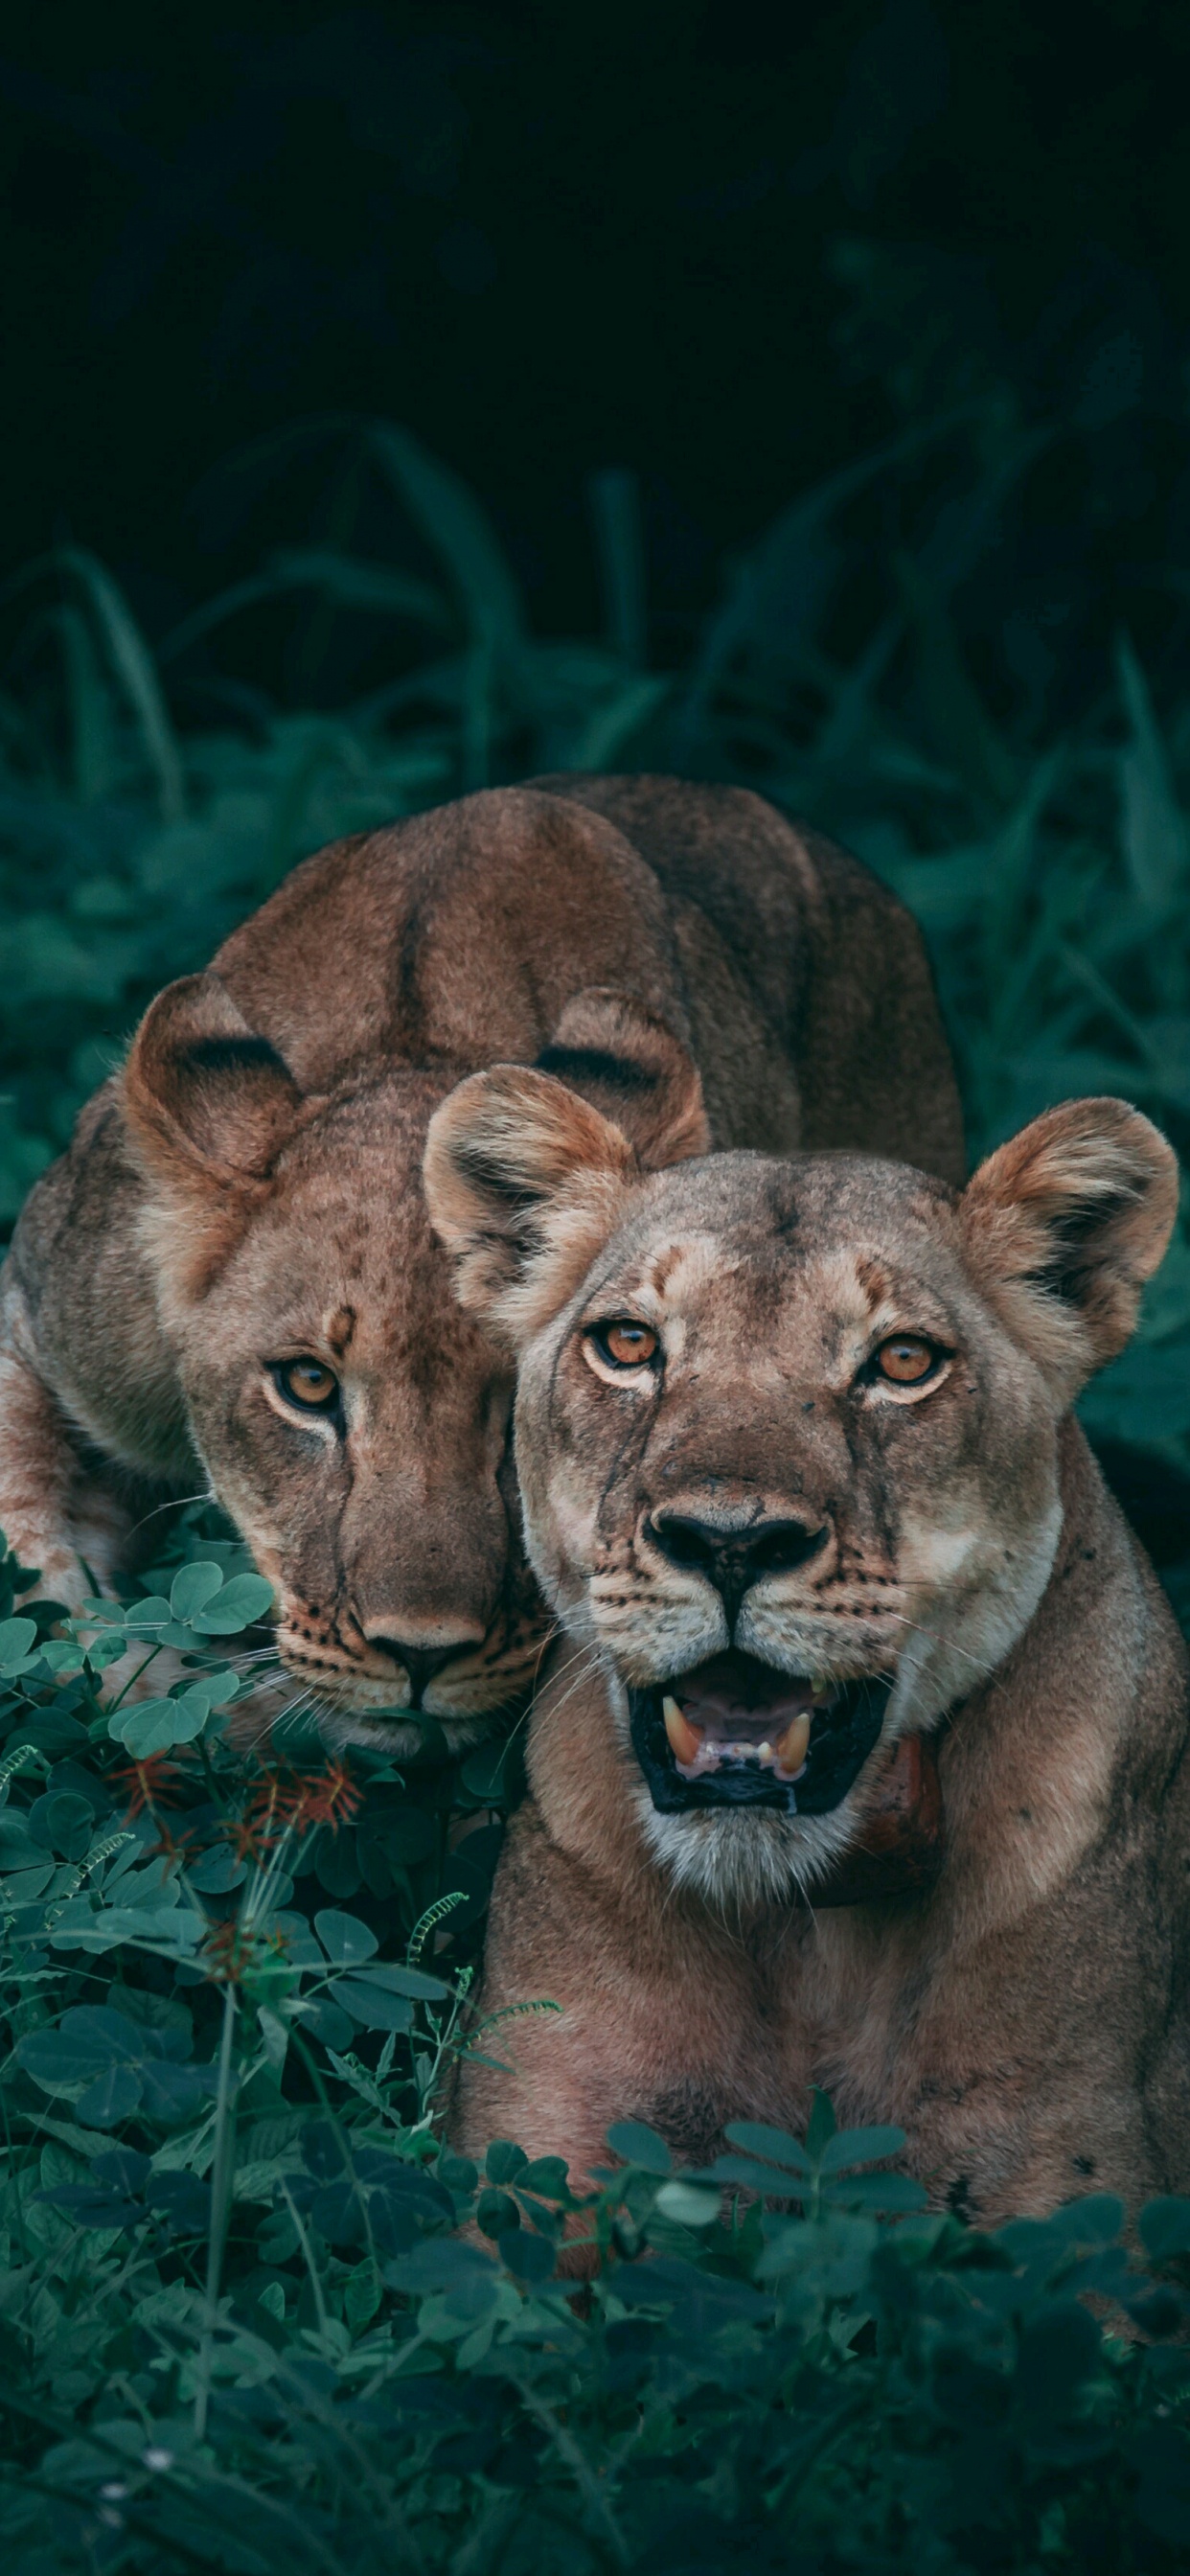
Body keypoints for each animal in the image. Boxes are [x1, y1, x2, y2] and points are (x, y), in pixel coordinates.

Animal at [424, 1065, 1190, 2220]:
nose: (730, 1542)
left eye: (904, 1362)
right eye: (629, 1344)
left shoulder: (1076, 2186)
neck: (805, 1929)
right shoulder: (537, 2144)